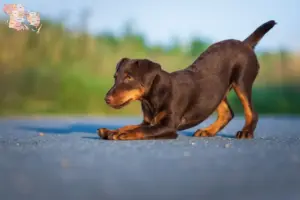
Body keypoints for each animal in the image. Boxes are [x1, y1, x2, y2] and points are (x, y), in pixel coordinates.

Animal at [98, 19, 276, 140]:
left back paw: (246, 132)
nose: (106, 99)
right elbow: (130, 125)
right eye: (115, 77)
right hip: (216, 91)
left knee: (251, 111)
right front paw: (111, 131)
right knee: (227, 113)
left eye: (129, 77)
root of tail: (245, 44)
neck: (153, 96)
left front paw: (121, 134)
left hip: (242, 82)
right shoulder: (148, 122)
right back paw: (207, 131)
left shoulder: (168, 126)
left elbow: (140, 130)